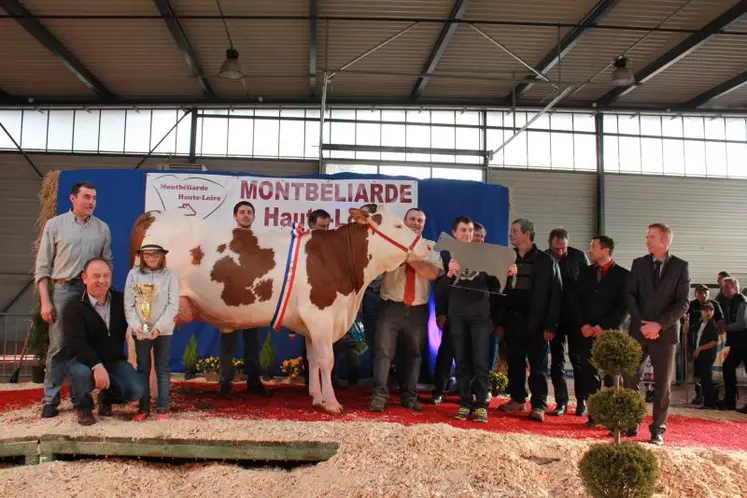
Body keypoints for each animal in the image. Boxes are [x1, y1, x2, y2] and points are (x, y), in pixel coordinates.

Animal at [130, 205, 432, 412]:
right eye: (397, 226)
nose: (428, 246)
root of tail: (154, 214)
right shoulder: (322, 315)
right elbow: (327, 360)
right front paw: (332, 404)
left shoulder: (312, 323)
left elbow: (313, 359)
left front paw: (316, 398)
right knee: (137, 345)